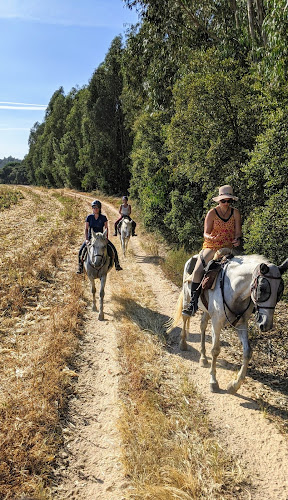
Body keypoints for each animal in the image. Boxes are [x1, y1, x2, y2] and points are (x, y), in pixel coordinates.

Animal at [168, 254, 286, 394]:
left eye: (280, 291)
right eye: (262, 289)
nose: (266, 324)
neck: (234, 289)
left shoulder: (241, 324)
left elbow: (247, 352)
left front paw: (235, 385)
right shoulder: (217, 323)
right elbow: (215, 350)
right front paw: (213, 382)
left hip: (207, 312)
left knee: (202, 325)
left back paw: (203, 358)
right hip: (187, 299)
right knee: (185, 317)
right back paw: (183, 343)